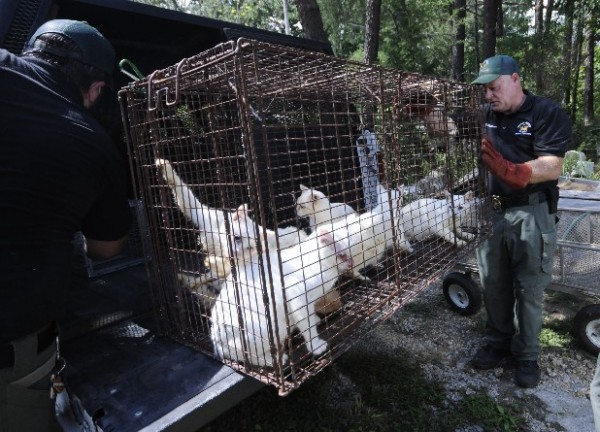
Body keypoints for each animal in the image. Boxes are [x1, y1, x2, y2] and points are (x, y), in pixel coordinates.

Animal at [210, 223, 354, 368]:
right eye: (342, 255)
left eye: (352, 252)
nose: (351, 264)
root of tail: (217, 343)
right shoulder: (297, 300)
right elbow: (307, 326)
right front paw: (316, 346)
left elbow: (309, 317)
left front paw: (314, 319)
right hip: (270, 328)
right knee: (251, 357)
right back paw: (276, 359)